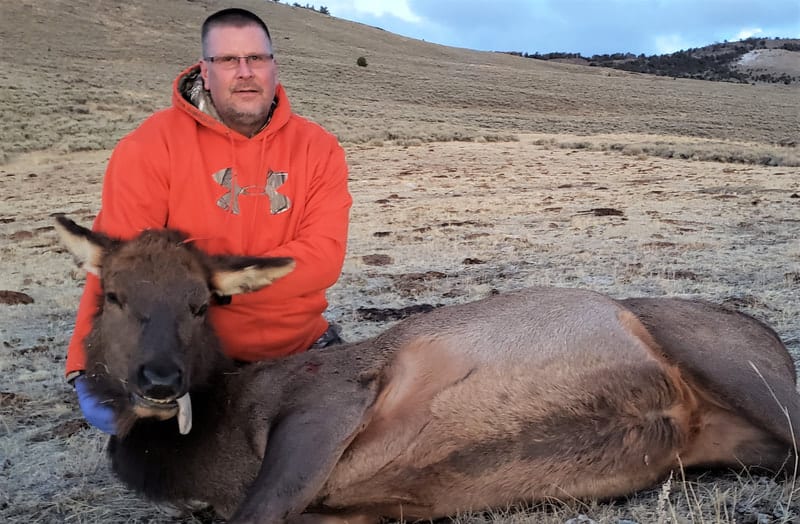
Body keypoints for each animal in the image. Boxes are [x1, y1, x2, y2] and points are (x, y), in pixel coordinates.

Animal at [54, 215, 799, 524]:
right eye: (112, 295)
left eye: (200, 303)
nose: (159, 380)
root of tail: (774, 337)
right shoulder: (356, 512)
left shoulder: (332, 398)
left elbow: (262, 509)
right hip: (738, 442)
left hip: (740, 366)